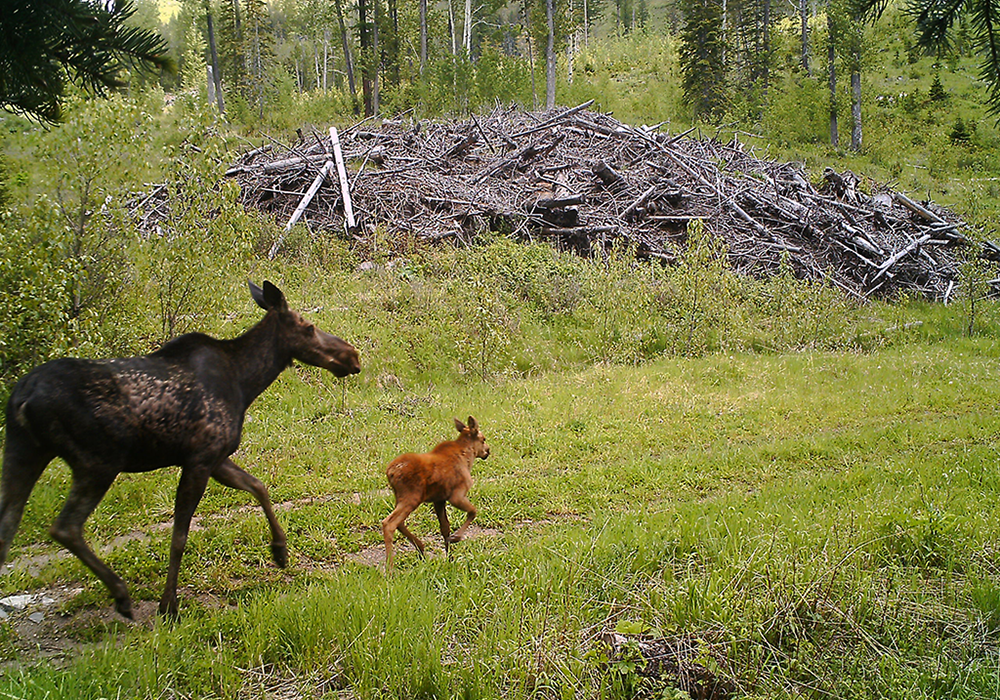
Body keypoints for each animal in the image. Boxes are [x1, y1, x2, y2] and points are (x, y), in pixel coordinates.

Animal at [0, 281, 360, 619]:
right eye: (309, 327)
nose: (352, 355)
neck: (246, 382)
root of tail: (24, 397)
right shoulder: (201, 458)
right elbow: (179, 536)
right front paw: (168, 604)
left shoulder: (216, 457)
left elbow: (259, 486)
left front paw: (280, 551)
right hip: (97, 461)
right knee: (65, 527)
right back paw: (121, 594)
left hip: (23, 452)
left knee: (8, 528)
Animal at [381, 416, 490, 572]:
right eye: (483, 439)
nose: (487, 451)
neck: (468, 457)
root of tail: (390, 472)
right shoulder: (456, 495)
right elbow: (473, 511)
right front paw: (456, 538)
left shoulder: (439, 500)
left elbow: (445, 527)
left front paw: (450, 559)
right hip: (412, 497)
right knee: (389, 523)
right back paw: (390, 569)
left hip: (400, 497)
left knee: (399, 522)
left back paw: (420, 548)